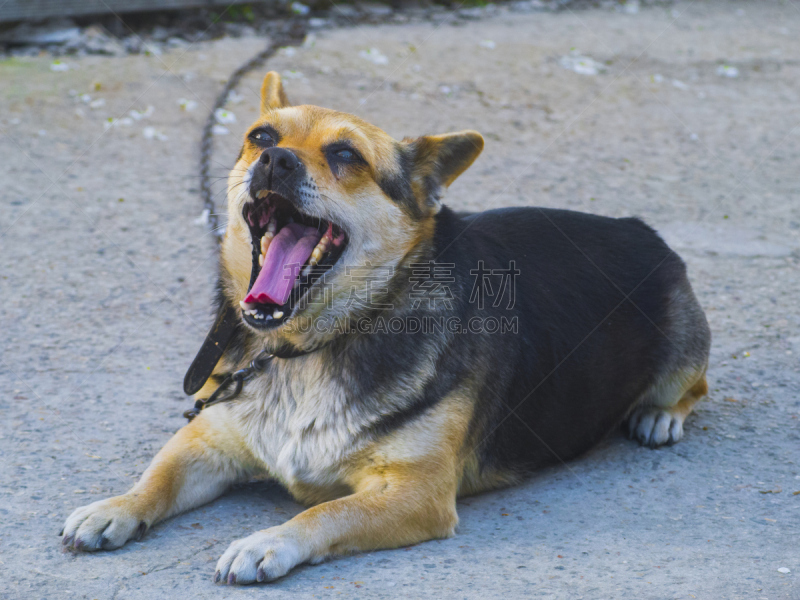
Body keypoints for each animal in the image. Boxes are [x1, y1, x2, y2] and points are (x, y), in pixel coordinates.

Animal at [64, 69, 712, 580]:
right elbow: (160, 475)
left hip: (684, 352)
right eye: (261, 137)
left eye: (346, 155)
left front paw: (267, 541)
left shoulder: (415, 493)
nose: (274, 160)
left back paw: (659, 417)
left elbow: (325, 511)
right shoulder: (211, 438)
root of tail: (638, 227)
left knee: (695, 387)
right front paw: (115, 506)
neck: (305, 348)